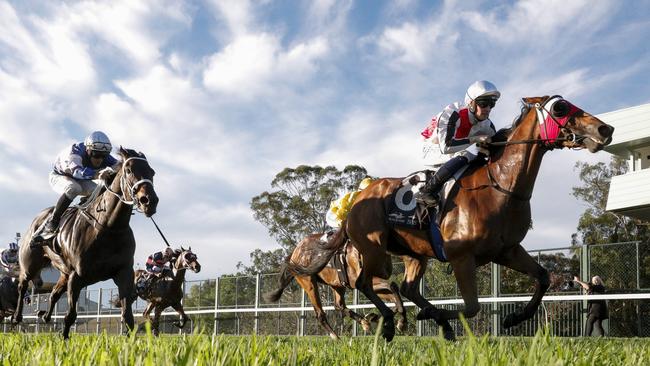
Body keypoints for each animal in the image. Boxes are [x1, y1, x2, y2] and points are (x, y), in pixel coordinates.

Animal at [13, 147, 158, 338]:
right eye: (128, 170)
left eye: (152, 172)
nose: (149, 201)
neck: (109, 227)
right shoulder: (77, 276)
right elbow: (70, 315)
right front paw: (64, 340)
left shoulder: (124, 273)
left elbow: (127, 316)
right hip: (30, 264)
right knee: (22, 286)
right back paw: (17, 317)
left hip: (64, 272)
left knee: (53, 293)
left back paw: (45, 316)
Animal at [260, 233, 402, 338]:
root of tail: (295, 252)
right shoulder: (363, 282)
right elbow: (391, 286)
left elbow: (392, 291)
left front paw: (379, 318)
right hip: (309, 283)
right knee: (321, 314)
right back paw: (337, 338)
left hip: (337, 284)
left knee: (339, 306)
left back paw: (363, 321)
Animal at [284, 95, 612, 340]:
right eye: (560, 107)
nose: (605, 129)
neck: (499, 185)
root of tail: (359, 199)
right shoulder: (461, 256)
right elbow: (472, 307)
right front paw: (436, 316)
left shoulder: (506, 250)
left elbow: (543, 277)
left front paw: (513, 318)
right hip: (371, 248)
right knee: (366, 283)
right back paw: (389, 321)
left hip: (414, 254)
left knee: (405, 287)